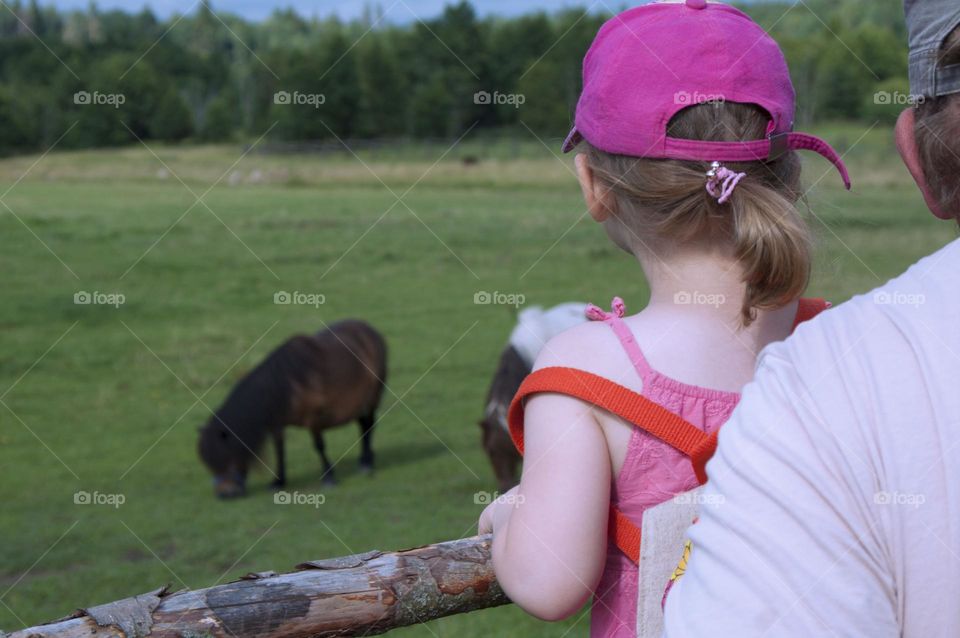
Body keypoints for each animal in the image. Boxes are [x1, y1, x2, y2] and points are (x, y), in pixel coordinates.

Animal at [197, 320, 388, 500]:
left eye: (227, 456)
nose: (225, 494)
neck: (288, 387)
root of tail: (370, 330)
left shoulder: (314, 419)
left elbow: (319, 446)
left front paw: (329, 477)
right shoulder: (277, 425)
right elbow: (279, 449)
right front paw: (278, 481)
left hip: (372, 399)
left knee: (369, 425)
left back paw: (366, 463)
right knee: (363, 425)